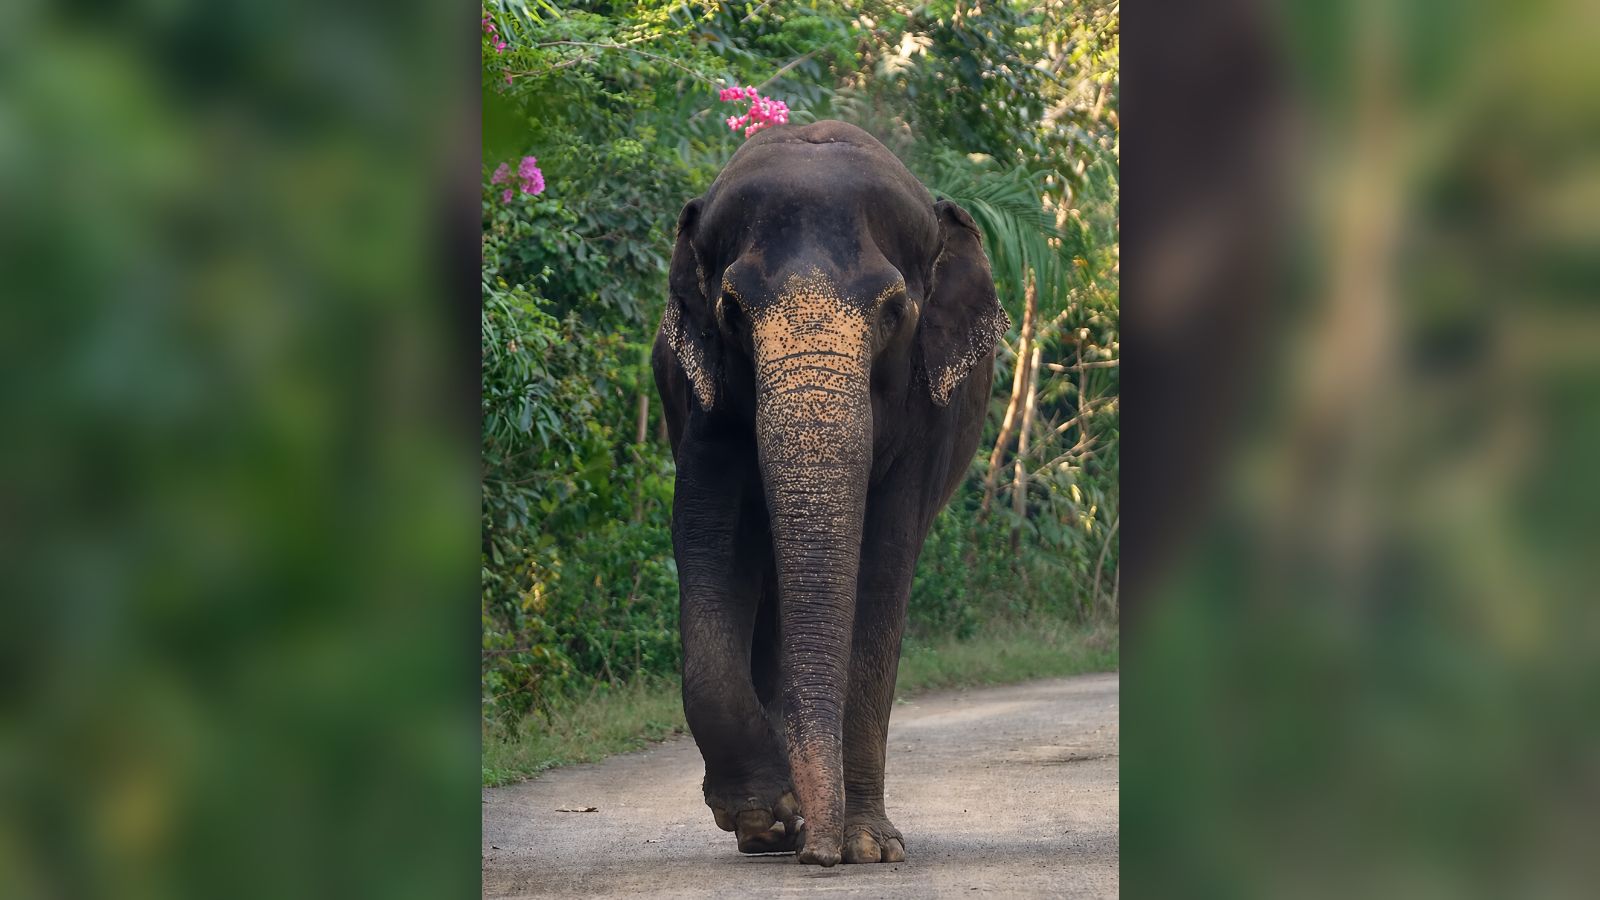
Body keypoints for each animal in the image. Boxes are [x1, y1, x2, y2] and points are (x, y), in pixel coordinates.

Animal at [651, 120, 1008, 867]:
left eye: (895, 310)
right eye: (731, 310)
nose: (817, 857)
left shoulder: (926, 414)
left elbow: (884, 562)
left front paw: (866, 847)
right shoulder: (706, 401)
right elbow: (708, 535)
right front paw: (767, 815)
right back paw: (773, 830)